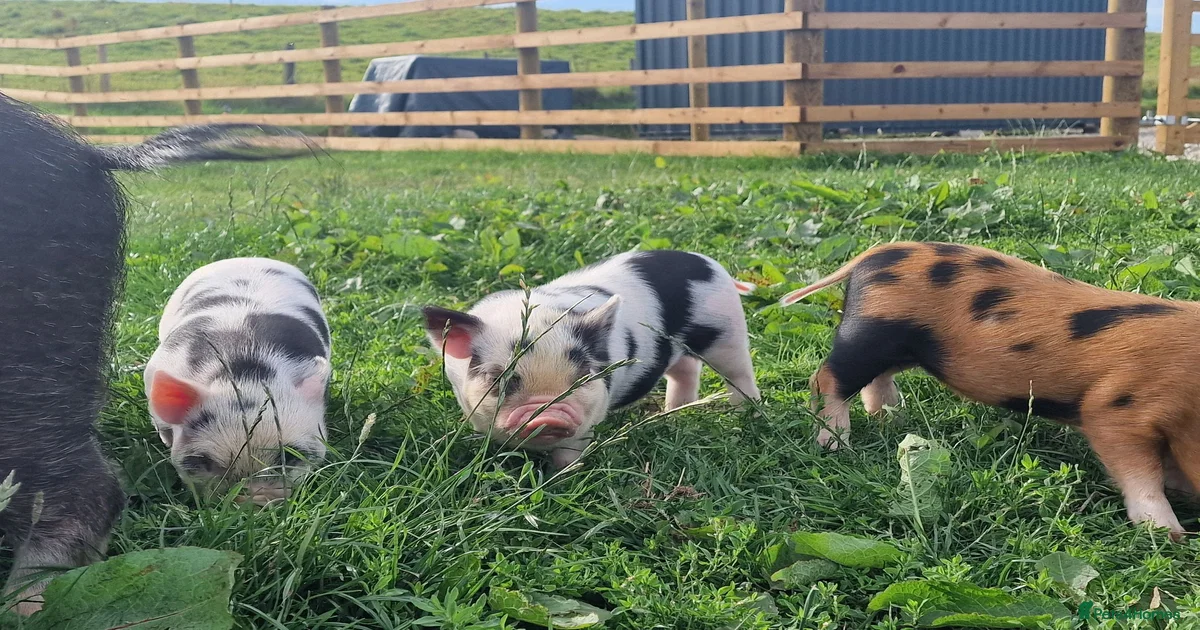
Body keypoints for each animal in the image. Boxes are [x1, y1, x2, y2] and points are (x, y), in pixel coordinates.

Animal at [145, 258, 332, 504]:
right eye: (206, 462)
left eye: (290, 456)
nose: (257, 499)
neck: (245, 373)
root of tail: (248, 259)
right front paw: (167, 442)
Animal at [423, 250, 761, 469]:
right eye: (498, 378)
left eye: (584, 374)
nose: (549, 416)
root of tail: (708, 263)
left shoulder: (589, 416)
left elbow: (569, 452)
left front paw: (561, 479)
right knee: (685, 370)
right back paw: (672, 413)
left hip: (728, 332)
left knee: (739, 374)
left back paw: (747, 413)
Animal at [781, 241, 1200, 540]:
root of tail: (873, 255)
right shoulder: (1116, 407)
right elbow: (1138, 471)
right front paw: (1169, 533)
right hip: (873, 331)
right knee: (826, 378)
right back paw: (836, 444)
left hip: (906, 346)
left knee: (874, 379)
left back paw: (893, 417)